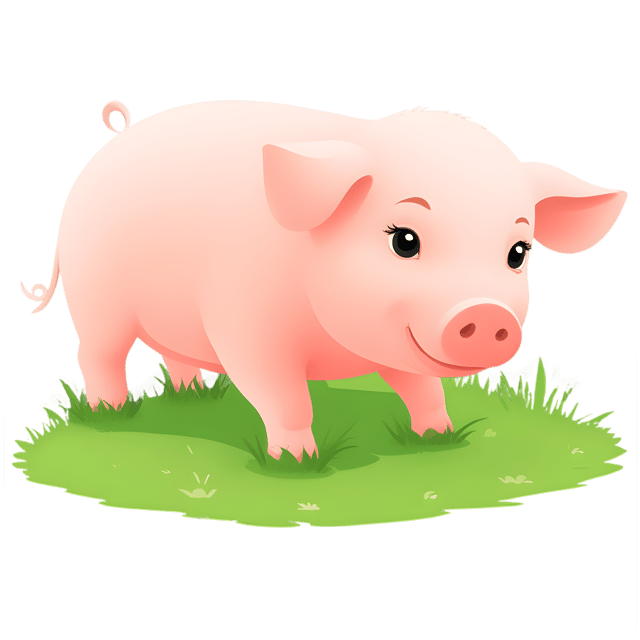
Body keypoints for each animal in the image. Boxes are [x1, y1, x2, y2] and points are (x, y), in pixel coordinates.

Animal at [20, 99, 627, 463]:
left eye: (518, 253)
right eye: (404, 240)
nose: (485, 314)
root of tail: (113, 138)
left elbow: (424, 389)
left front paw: (436, 438)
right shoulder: (247, 330)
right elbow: (285, 399)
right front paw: (297, 461)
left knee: (177, 355)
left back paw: (193, 396)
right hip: (95, 298)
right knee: (97, 355)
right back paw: (109, 411)